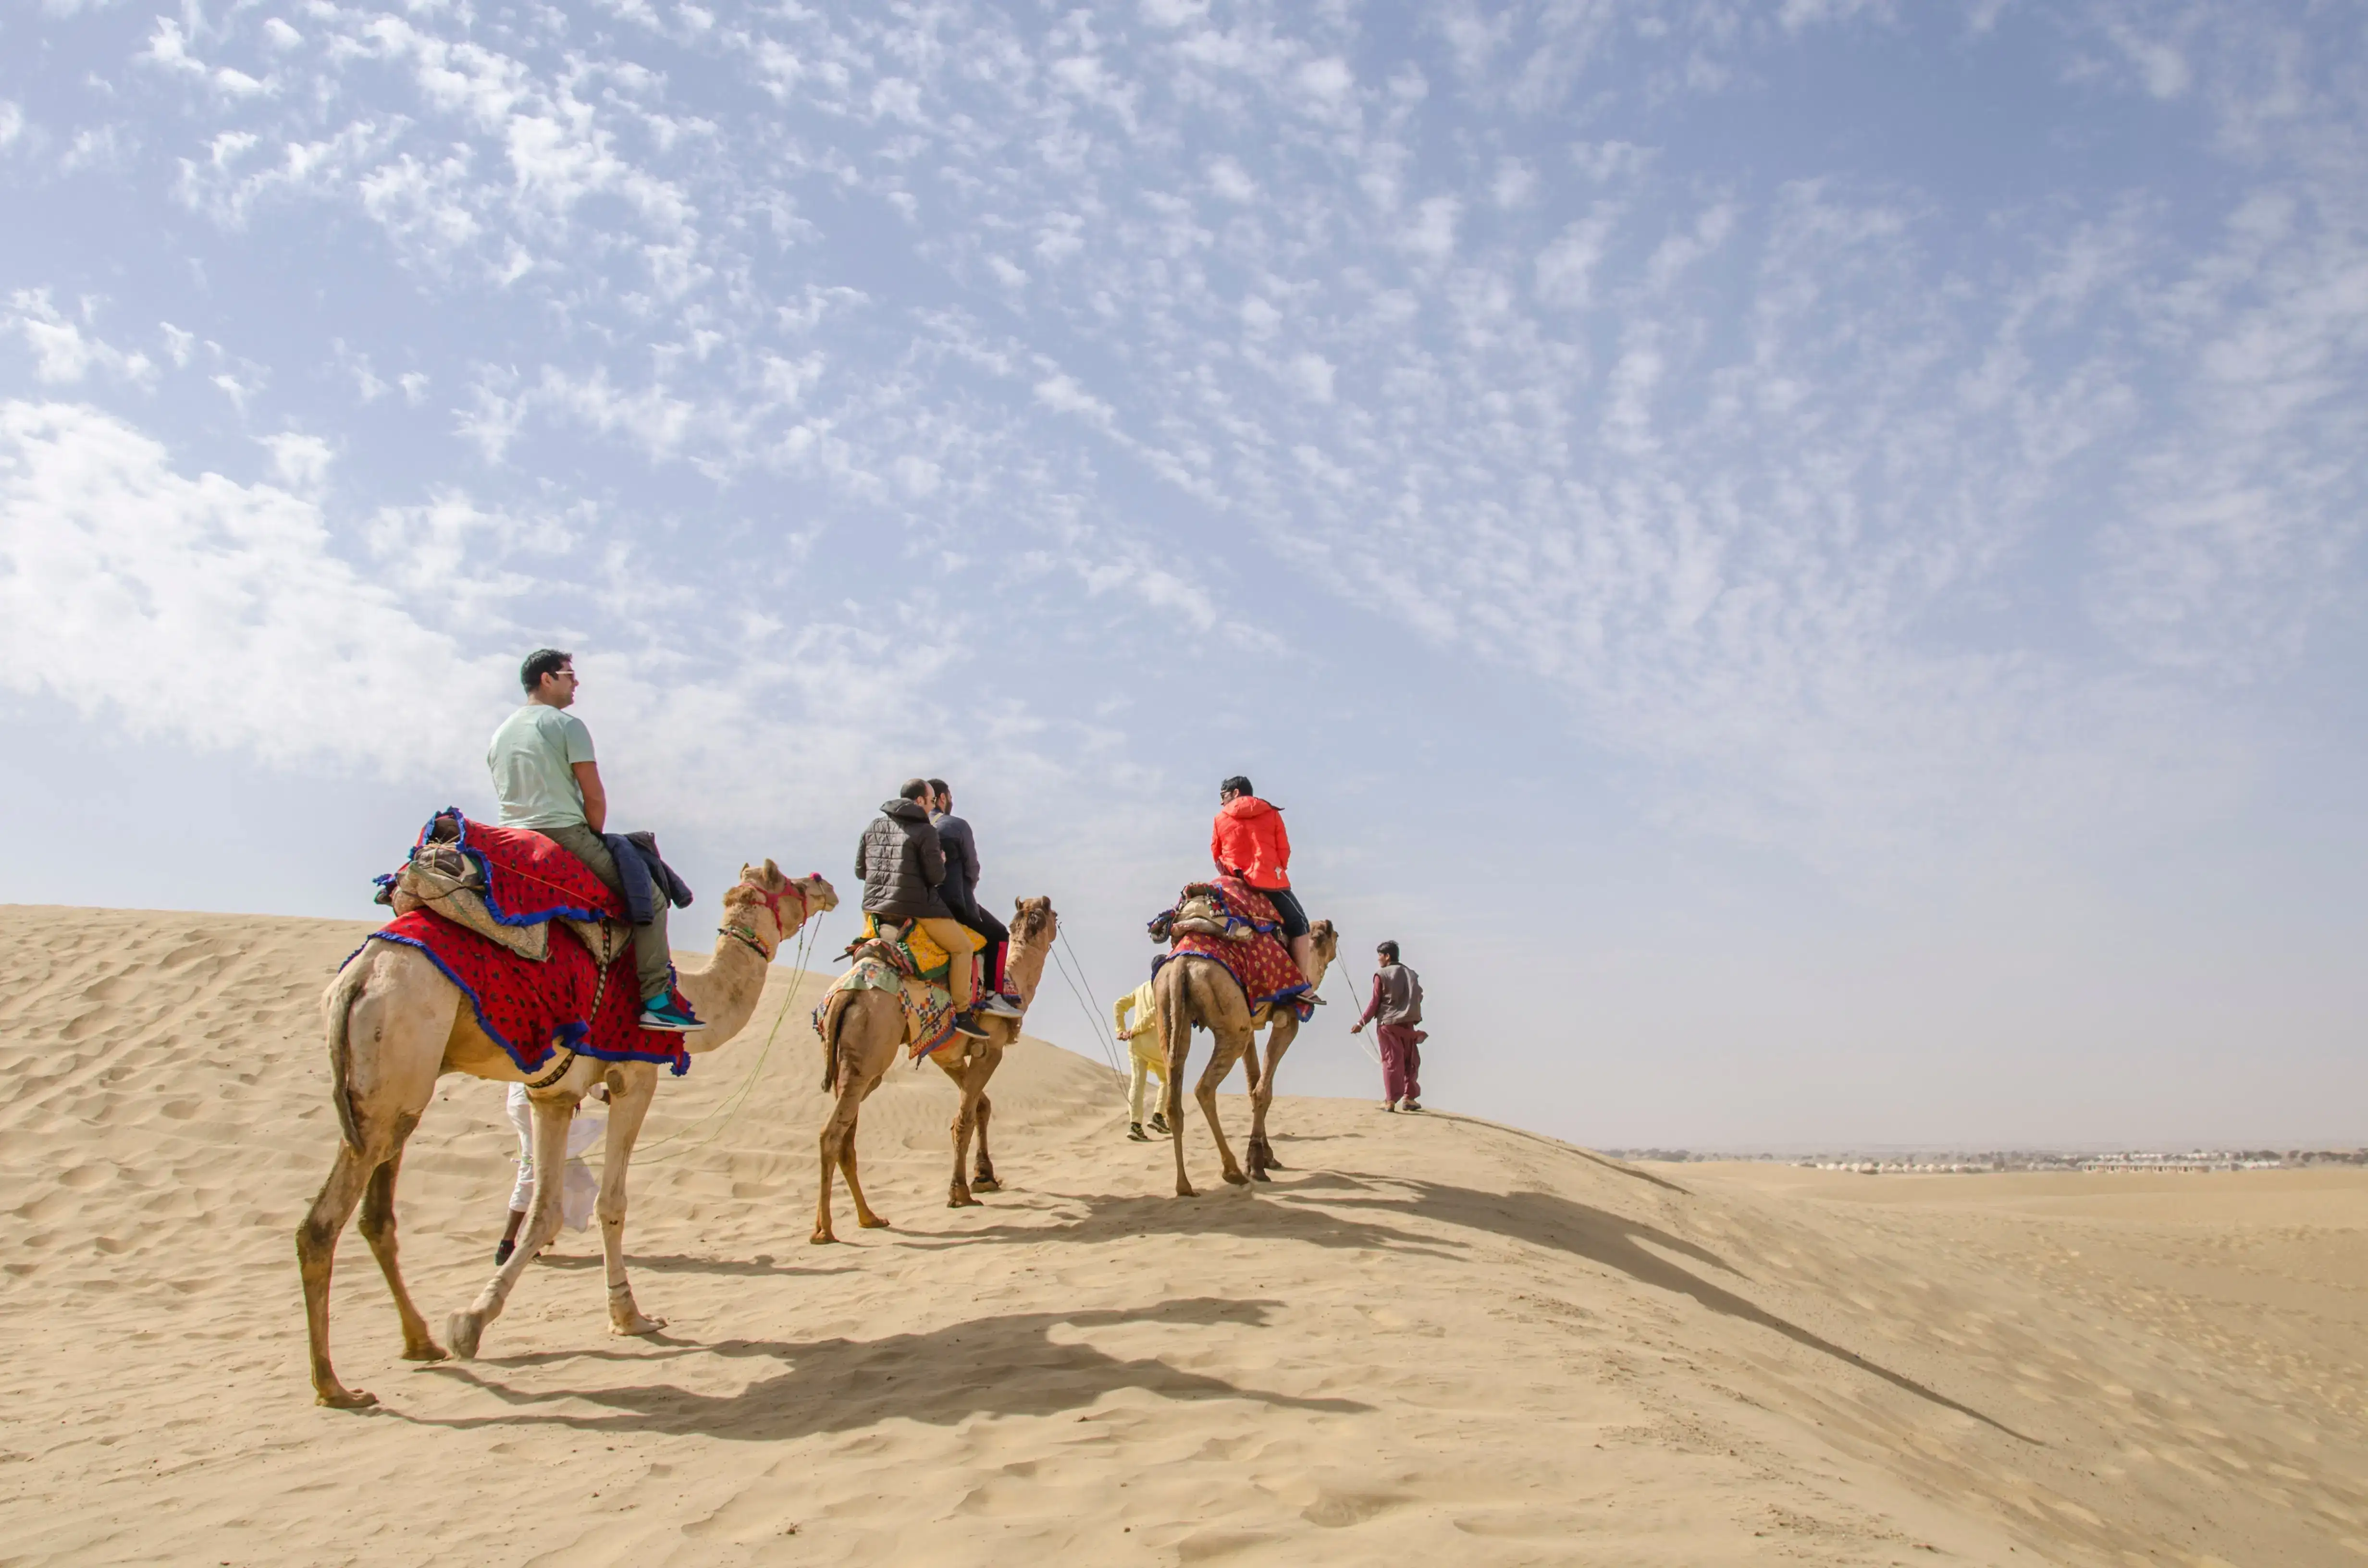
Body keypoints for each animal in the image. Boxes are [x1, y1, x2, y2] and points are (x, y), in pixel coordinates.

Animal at [297, 861, 838, 1409]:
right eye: (788, 883)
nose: (825, 886)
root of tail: (359, 978)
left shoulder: (552, 1097)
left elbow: (546, 1211)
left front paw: (473, 1321)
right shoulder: (635, 1077)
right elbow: (610, 1203)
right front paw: (629, 1316)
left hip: (392, 1093)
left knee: (376, 1216)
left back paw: (419, 1343)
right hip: (396, 1062)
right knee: (321, 1225)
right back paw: (333, 1386)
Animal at [810, 896, 1058, 1243]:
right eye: (1054, 915)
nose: (1051, 912)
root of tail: (847, 996)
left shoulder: (947, 1054)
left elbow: (981, 1106)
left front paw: (985, 1176)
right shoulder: (991, 1049)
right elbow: (964, 1118)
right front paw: (961, 1193)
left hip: (851, 1060)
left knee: (847, 1133)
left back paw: (869, 1217)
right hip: (874, 1042)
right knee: (831, 1134)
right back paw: (825, 1230)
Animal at [1155, 919, 1338, 1197]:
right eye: (1331, 935)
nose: (1335, 933)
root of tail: (1181, 968)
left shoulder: (1251, 1025)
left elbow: (1254, 1083)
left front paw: (1267, 1157)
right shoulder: (1287, 1021)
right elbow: (1263, 1090)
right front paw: (1257, 1165)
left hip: (1169, 1011)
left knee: (1174, 1095)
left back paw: (1184, 1186)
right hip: (1230, 1021)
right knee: (1204, 1089)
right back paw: (1232, 1172)